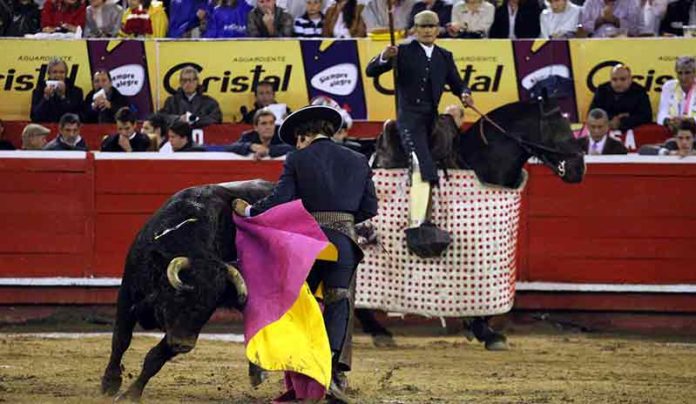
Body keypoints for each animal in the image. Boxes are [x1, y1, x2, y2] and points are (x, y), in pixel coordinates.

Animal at [101, 180, 274, 400]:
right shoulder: (127, 293)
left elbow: (155, 357)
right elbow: (120, 339)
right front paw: (110, 382)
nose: (184, 345)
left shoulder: (182, 330)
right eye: (179, 296)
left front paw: (130, 394)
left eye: (210, 307)